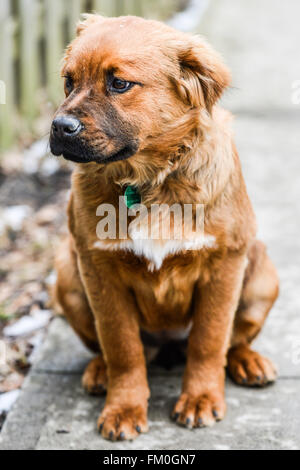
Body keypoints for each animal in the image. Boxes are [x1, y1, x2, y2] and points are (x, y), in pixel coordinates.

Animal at [49, 14, 278, 440]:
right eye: (68, 81)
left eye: (119, 83)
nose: (59, 127)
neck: (149, 180)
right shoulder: (98, 269)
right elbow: (122, 346)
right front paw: (124, 407)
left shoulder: (224, 265)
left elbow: (209, 340)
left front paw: (201, 399)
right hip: (67, 276)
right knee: (111, 348)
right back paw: (99, 372)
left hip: (261, 276)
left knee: (233, 340)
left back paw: (248, 361)